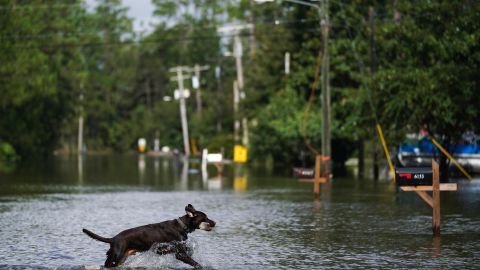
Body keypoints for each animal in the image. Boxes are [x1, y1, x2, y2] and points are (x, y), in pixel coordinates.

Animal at [82, 205, 216, 268]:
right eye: (205, 218)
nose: (215, 222)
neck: (181, 226)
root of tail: (113, 239)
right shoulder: (179, 253)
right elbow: (195, 263)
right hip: (115, 257)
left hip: (121, 258)